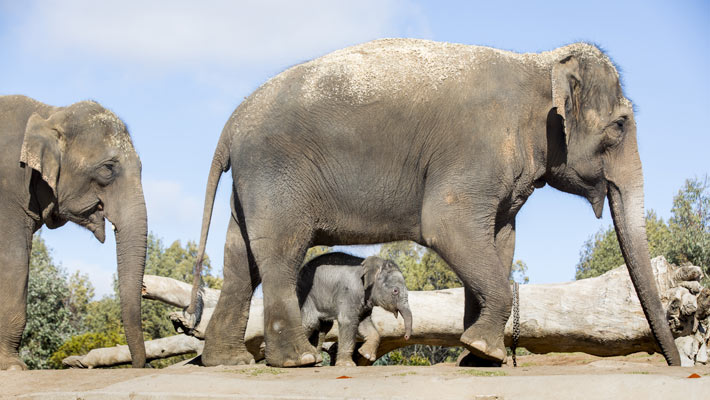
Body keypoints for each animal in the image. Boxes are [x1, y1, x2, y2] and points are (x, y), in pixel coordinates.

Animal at [0, 94, 147, 368]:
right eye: (108, 168)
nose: (138, 365)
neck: (49, 113)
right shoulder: (8, 190)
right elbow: (14, 260)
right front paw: (13, 367)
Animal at [188, 39, 684, 368]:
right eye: (620, 126)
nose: (674, 364)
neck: (539, 64)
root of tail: (231, 123)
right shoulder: (476, 151)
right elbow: (447, 225)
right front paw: (483, 348)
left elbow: (501, 241)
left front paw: (480, 355)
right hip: (275, 174)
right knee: (280, 253)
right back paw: (297, 360)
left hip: (252, 184)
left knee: (240, 260)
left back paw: (227, 362)